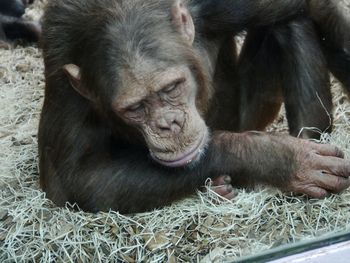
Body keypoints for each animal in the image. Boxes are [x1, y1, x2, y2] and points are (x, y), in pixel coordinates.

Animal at [38, 0, 350, 214]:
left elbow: (313, 6)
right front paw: (281, 158)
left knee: (289, 20)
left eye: (171, 87)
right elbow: (82, 178)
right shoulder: (60, 70)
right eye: (135, 108)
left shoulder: (221, 5)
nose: (169, 124)